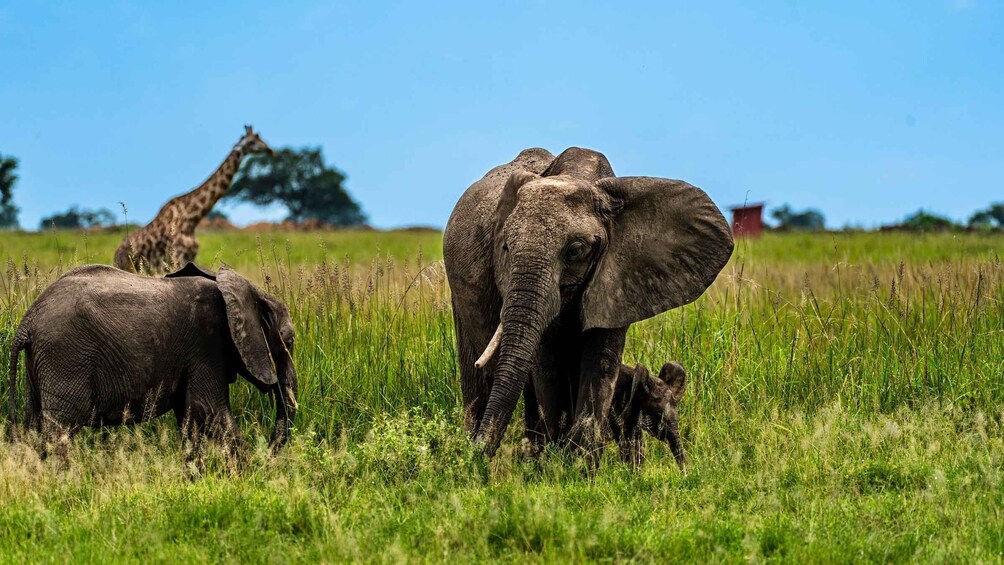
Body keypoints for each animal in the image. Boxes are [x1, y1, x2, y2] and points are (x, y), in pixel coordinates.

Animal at [7, 264, 297, 469]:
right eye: (290, 341)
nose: (268, 456)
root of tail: (28, 320)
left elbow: (190, 419)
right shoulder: (207, 343)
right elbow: (210, 409)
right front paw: (251, 476)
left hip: (42, 362)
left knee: (35, 423)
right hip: (66, 356)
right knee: (61, 429)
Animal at [114, 126, 275, 272]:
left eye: (260, 137)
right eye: (253, 141)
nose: (270, 150)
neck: (191, 218)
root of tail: (116, 253)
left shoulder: (188, 257)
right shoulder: (176, 257)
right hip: (128, 267)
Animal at [443, 147, 734, 459]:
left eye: (574, 251)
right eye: (506, 247)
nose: (476, 453)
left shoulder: (621, 276)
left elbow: (601, 361)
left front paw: (580, 463)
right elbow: (547, 363)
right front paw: (558, 462)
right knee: (480, 377)